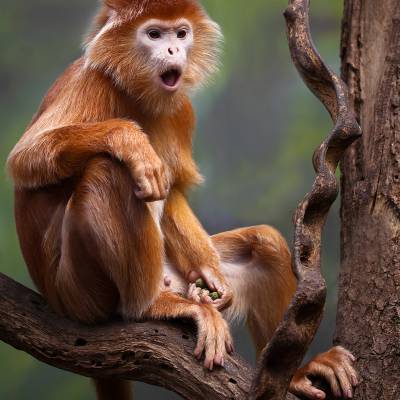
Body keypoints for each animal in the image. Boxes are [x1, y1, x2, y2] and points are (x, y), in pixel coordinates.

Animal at [7, 0, 356, 400]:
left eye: (181, 33)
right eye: (155, 34)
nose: (174, 50)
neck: (134, 91)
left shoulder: (181, 109)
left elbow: (173, 191)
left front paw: (210, 272)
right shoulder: (88, 81)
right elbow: (26, 160)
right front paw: (130, 141)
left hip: (175, 273)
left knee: (264, 241)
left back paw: (297, 372)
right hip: (80, 294)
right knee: (109, 170)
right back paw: (148, 307)